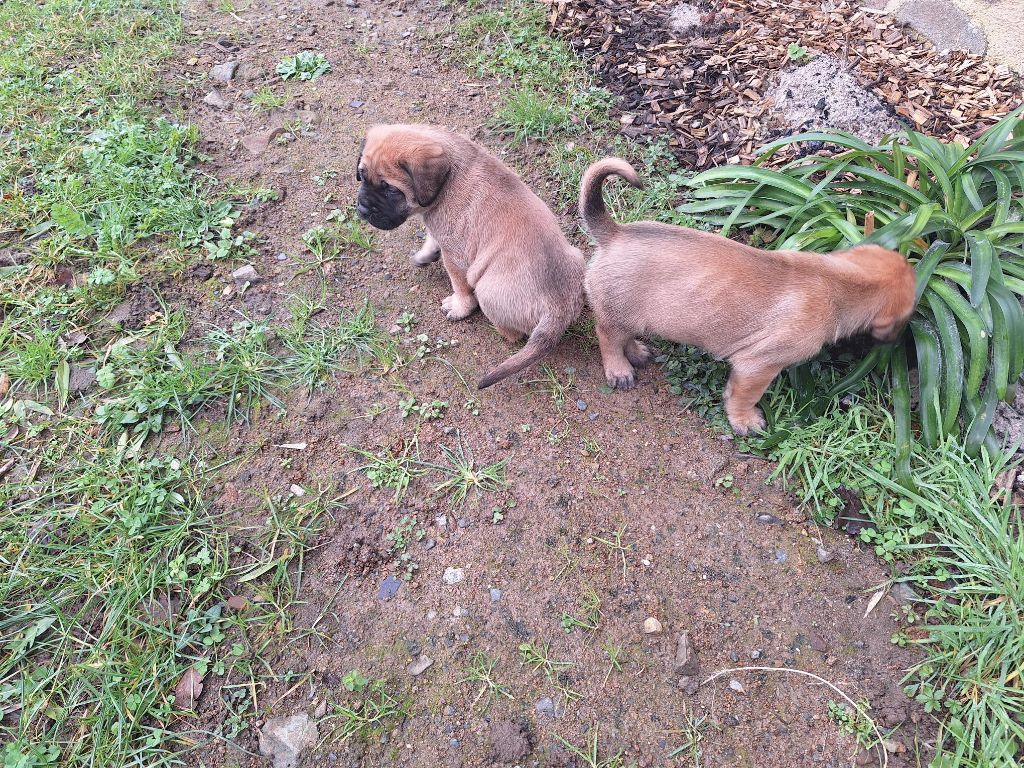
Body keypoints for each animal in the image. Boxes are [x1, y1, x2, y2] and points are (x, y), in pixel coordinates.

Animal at [355, 124, 585, 388]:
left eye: (392, 190)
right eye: (361, 175)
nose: (362, 208)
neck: (448, 179)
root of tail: (558, 309)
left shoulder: (456, 257)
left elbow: (459, 285)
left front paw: (459, 306)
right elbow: (432, 239)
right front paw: (425, 254)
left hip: (487, 289)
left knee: (513, 334)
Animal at [579, 157, 917, 435]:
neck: (837, 282)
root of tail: (615, 234)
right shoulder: (757, 365)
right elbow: (744, 395)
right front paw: (745, 420)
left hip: (631, 315)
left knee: (624, 336)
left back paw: (636, 352)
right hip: (618, 312)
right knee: (607, 336)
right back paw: (620, 370)